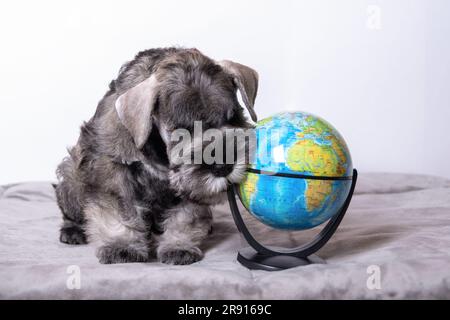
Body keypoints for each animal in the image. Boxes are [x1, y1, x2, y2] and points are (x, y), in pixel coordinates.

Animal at [54, 48, 258, 264]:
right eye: (181, 130)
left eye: (234, 116)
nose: (222, 167)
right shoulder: (112, 170)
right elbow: (119, 210)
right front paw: (121, 246)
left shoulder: (186, 186)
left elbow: (186, 215)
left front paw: (178, 246)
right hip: (72, 179)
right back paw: (73, 231)